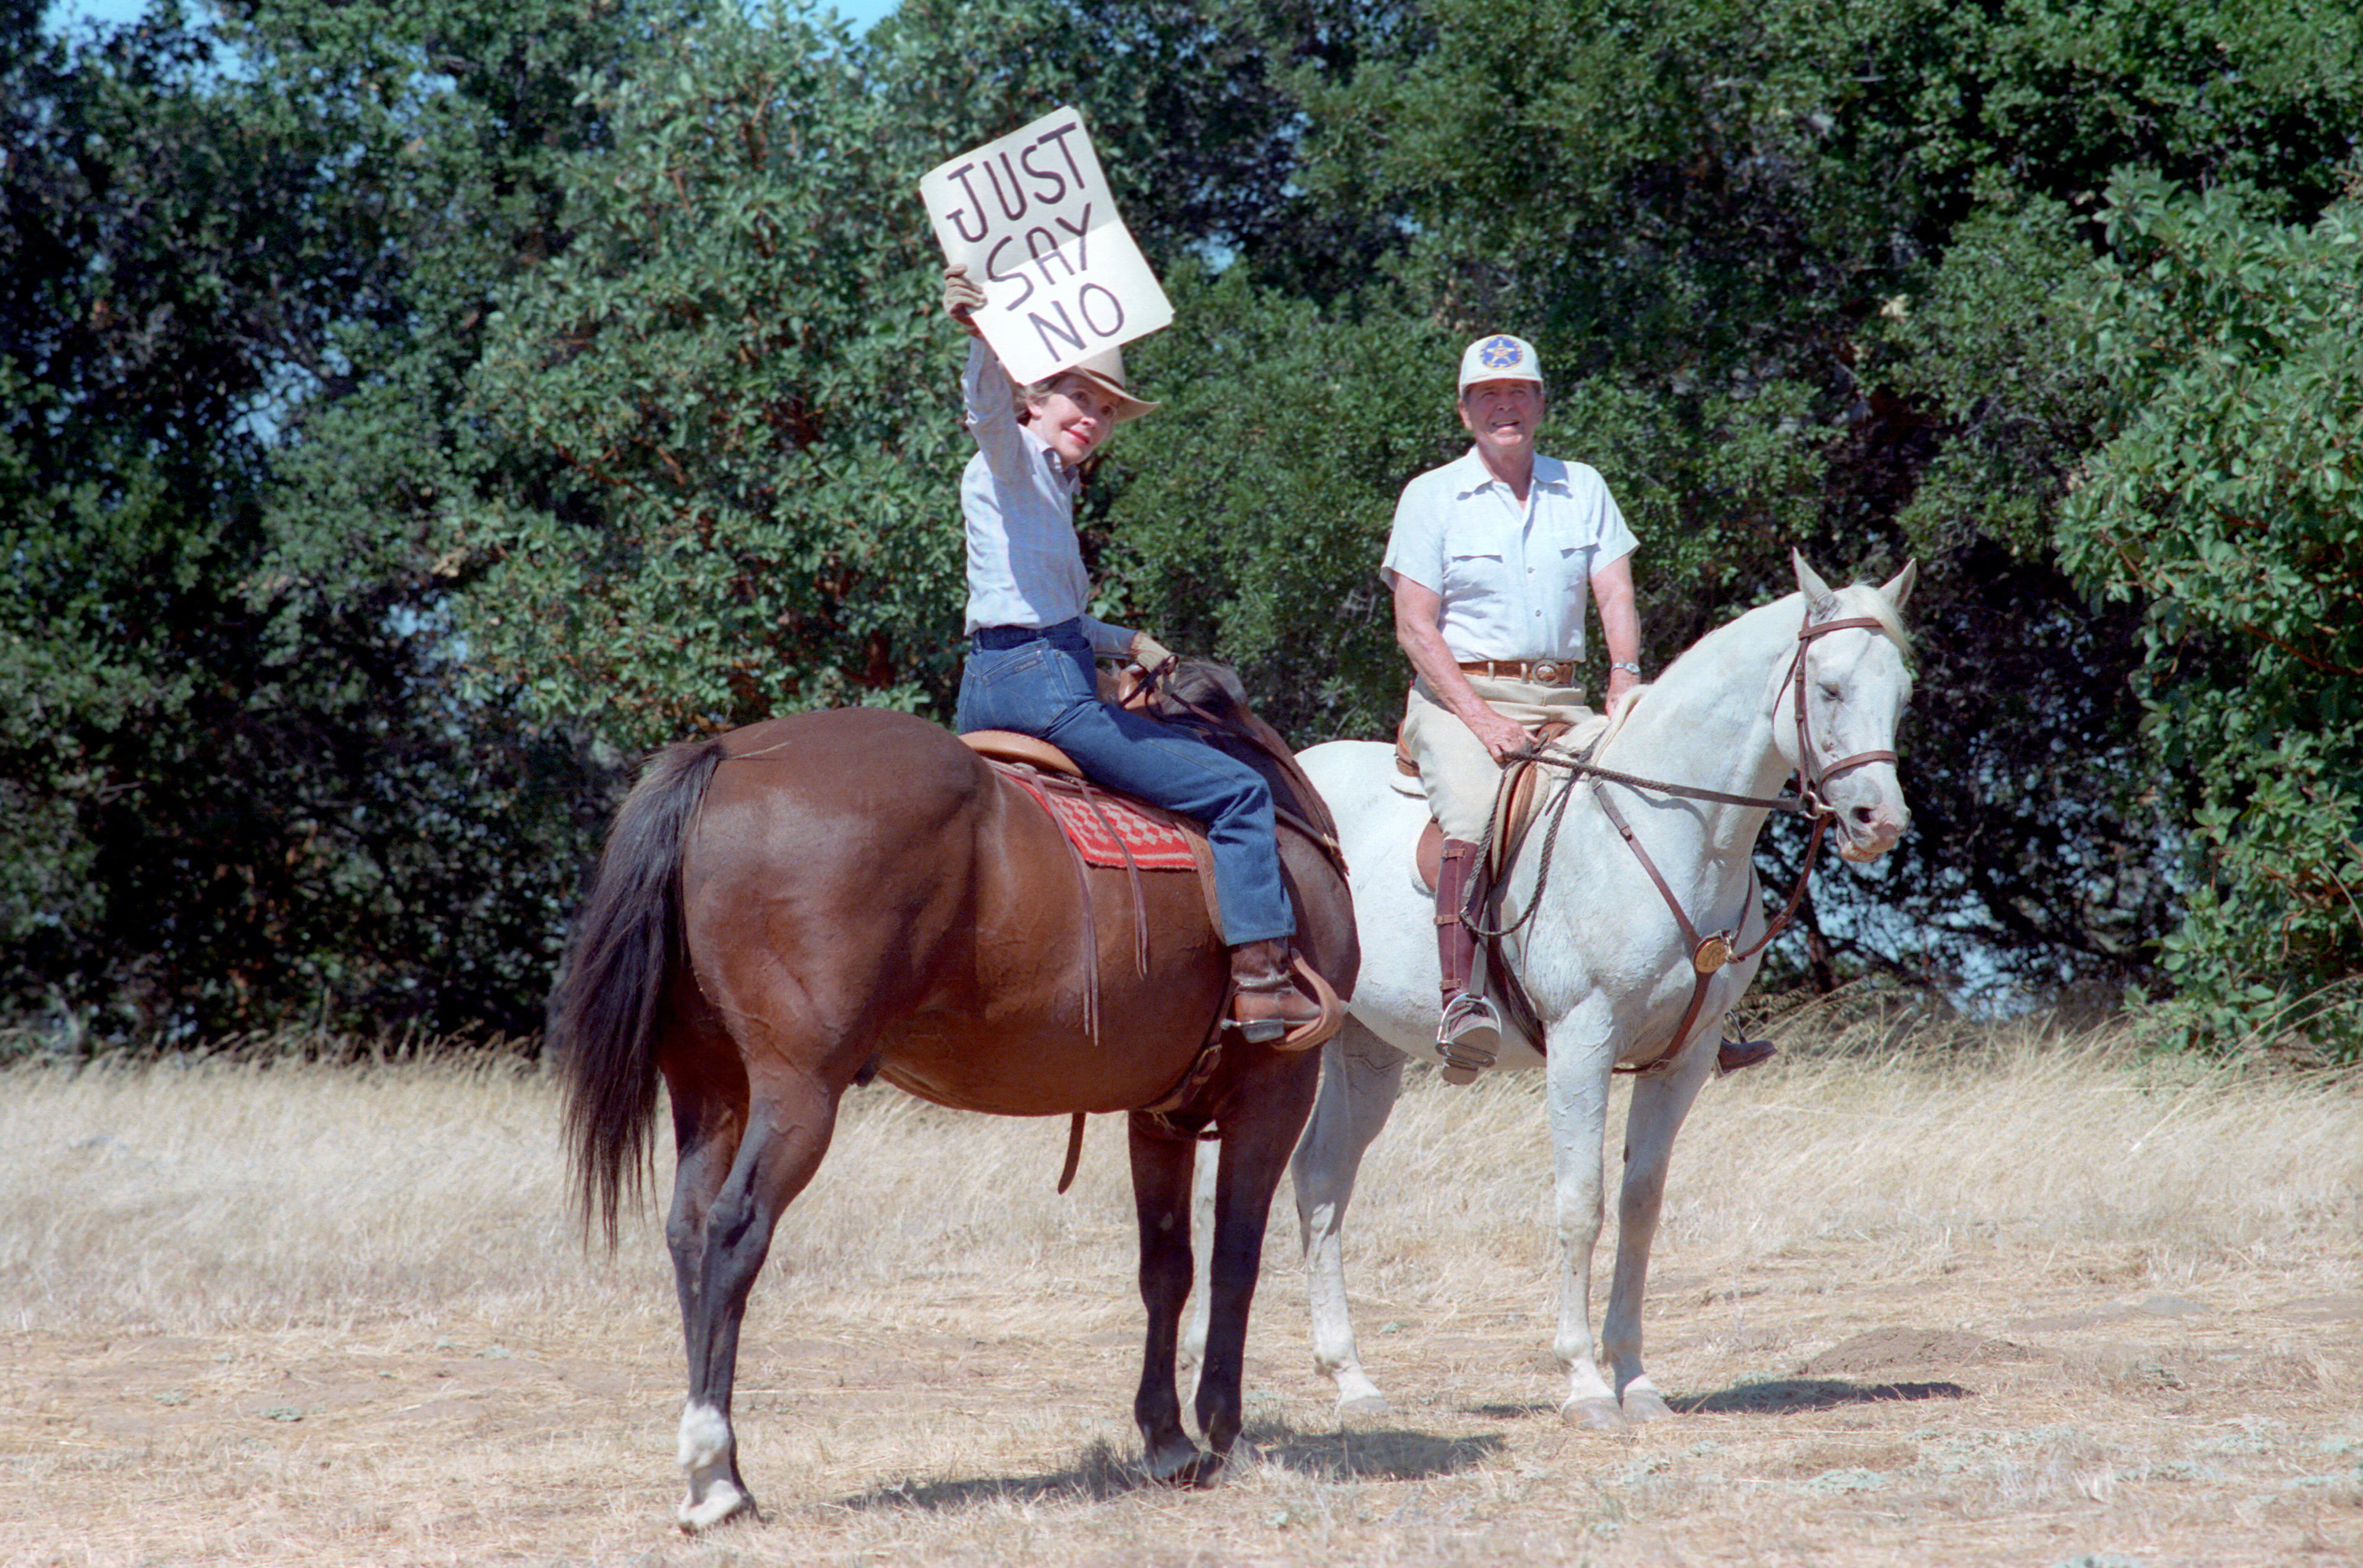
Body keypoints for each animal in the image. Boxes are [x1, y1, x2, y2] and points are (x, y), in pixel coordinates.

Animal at [555, 666, 1361, 1530]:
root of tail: (725, 761)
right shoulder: (1275, 1093)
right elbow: (1236, 1260)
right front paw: (1224, 1430)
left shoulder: (1160, 1112)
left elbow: (1167, 1268)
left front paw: (1167, 1438)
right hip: (797, 1090)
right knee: (735, 1230)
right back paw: (715, 1472)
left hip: (710, 1088)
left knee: (689, 1231)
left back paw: (718, 1465)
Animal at [1267, 555, 1909, 1436]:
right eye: (1833, 687)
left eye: (1902, 691)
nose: (1879, 821)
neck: (1677, 827)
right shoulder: (1582, 1042)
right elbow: (1581, 1204)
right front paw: (1582, 1383)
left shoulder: (1683, 1057)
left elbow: (1639, 1206)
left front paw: (1635, 1379)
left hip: (1367, 1052)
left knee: (1322, 1179)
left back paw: (1353, 1382)